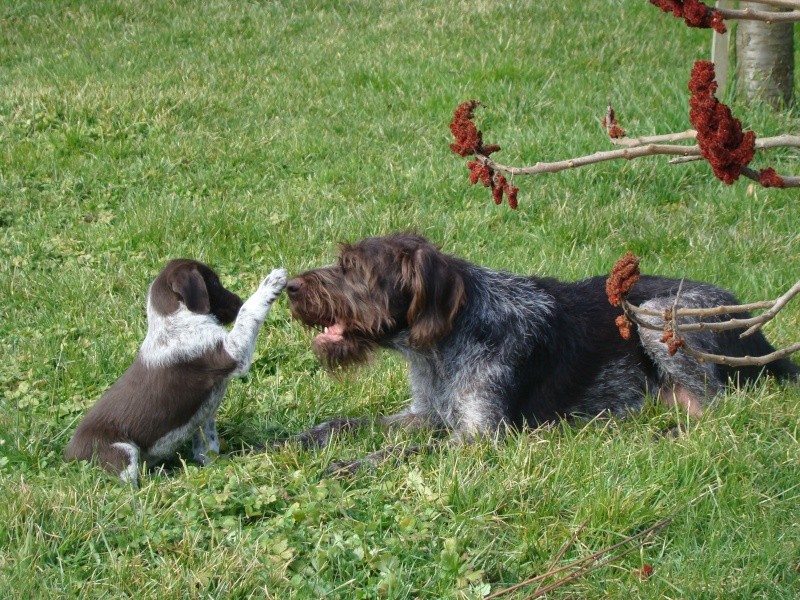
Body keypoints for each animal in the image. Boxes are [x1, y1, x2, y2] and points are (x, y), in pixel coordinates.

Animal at [65, 258, 288, 482]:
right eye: (214, 283)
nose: (238, 302)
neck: (174, 320)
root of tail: (68, 457)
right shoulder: (232, 352)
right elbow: (249, 313)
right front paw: (270, 283)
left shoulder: (204, 419)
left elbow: (207, 446)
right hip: (121, 451)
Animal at [284, 232, 796, 472]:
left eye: (352, 267)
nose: (289, 287)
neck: (439, 350)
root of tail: (765, 339)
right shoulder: (429, 413)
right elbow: (348, 424)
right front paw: (295, 442)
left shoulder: (482, 438)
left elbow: (402, 452)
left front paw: (347, 467)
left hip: (657, 316)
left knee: (718, 410)